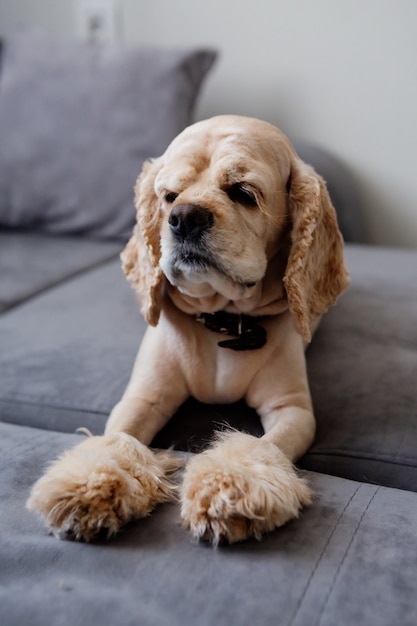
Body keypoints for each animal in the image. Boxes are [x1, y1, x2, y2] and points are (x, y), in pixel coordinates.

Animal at [27, 114, 350, 544]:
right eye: (169, 196)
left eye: (243, 192)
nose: (184, 217)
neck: (221, 321)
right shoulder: (143, 397)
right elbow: (120, 440)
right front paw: (92, 488)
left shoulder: (292, 409)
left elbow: (265, 448)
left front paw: (231, 490)